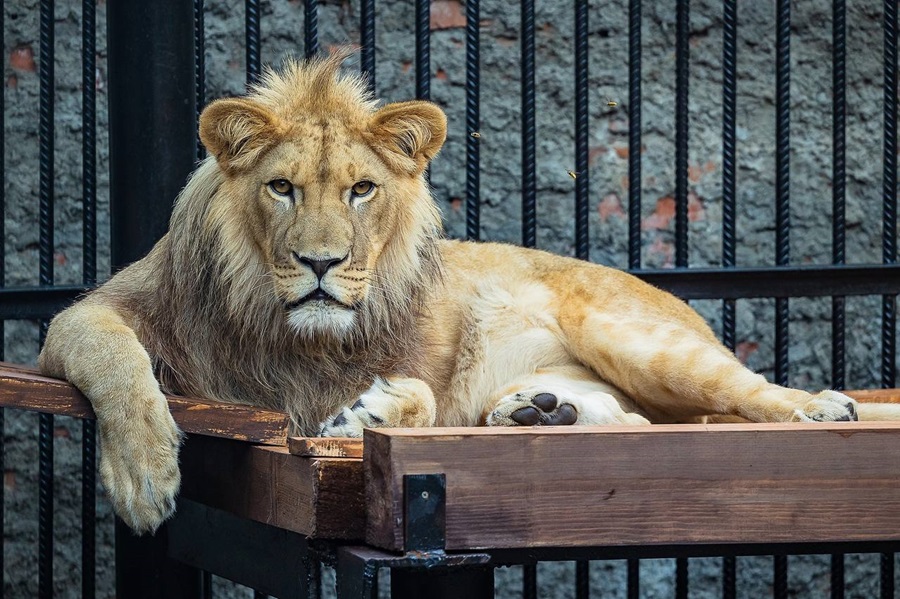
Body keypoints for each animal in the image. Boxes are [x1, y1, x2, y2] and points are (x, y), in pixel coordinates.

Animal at [37, 49, 900, 532]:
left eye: (361, 190)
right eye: (281, 188)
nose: (319, 263)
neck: (283, 324)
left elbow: (419, 396)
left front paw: (375, 412)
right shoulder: (89, 315)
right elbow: (118, 360)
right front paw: (145, 473)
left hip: (636, 337)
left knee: (731, 394)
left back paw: (823, 405)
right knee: (636, 417)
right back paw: (541, 411)